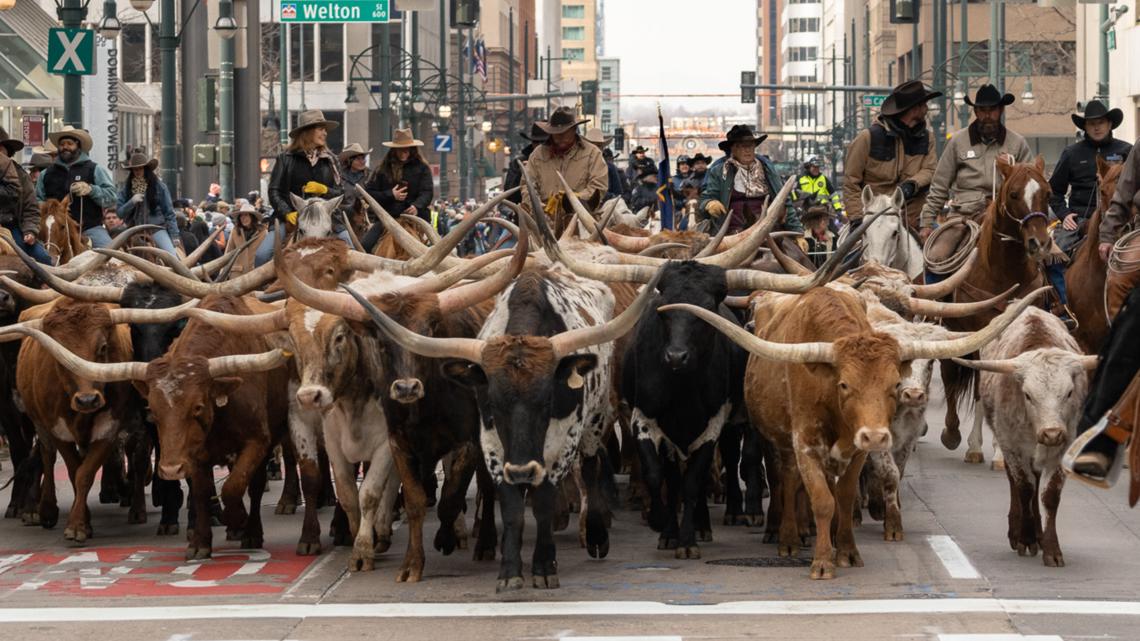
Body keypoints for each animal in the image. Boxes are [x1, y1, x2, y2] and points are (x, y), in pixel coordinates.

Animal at [934, 155, 1048, 463]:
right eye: (1014, 194)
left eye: (1048, 193)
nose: (1039, 243)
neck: (1003, 272)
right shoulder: (979, 331)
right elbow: (979, 383)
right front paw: (976, 446)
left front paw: (1000, 451)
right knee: (950, 375)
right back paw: (952, 433)